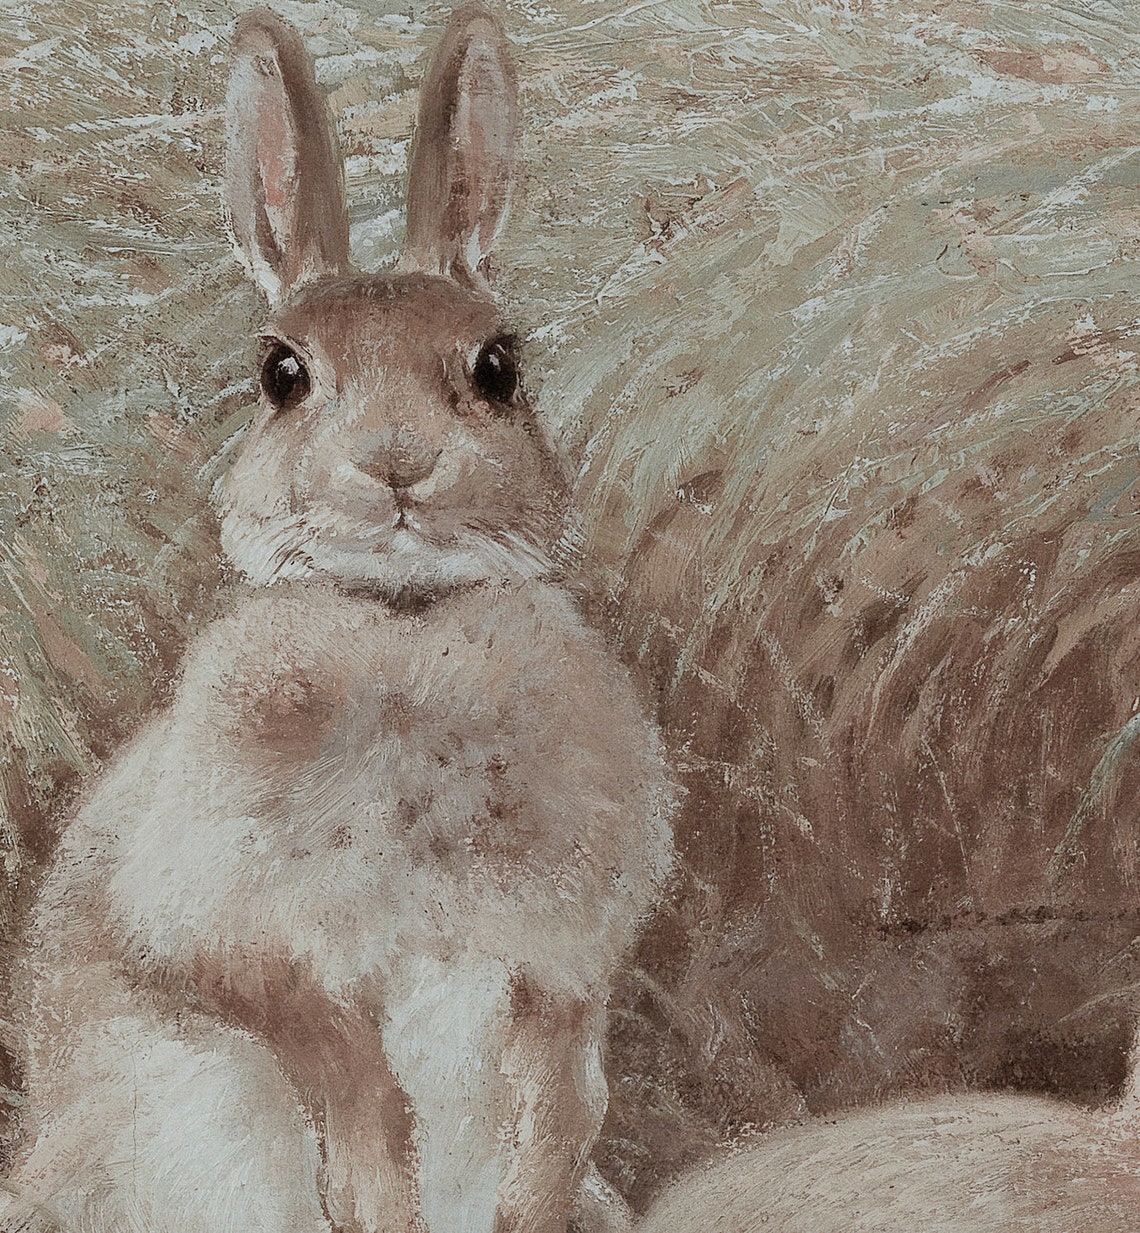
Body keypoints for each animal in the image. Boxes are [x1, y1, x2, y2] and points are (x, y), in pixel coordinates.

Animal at [0, 7, 674, 1233]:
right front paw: (375, 1193)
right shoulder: (236, 939)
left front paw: (530, 1204)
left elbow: (562, 1094)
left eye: (498, 367)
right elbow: (347, 1066)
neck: (405, 624)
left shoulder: (564, 962)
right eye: (282, 373)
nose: (397, 463)